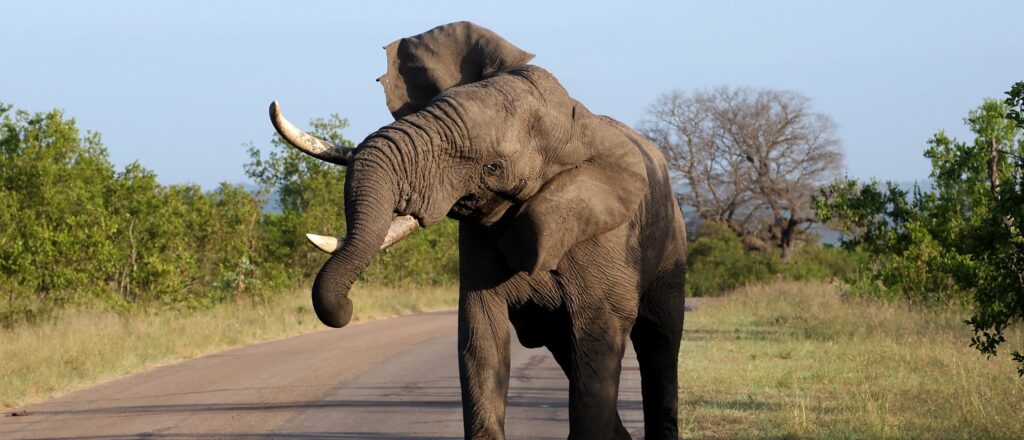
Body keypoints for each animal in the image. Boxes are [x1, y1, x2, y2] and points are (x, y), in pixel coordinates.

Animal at [269, 22, 686, 440]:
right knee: (565, 349)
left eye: (493, 168)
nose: (349, 308)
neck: (577, 124)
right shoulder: (478, 240)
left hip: (671, 245)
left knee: (659, 344)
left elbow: (596, 343)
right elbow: (480, 341)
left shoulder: (603, 241)